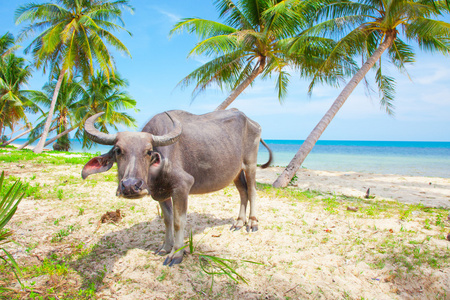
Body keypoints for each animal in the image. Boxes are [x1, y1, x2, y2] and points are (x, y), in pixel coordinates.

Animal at [81, 109, 272, 266]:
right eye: (118, 150)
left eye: (148, 151)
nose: (130, 186)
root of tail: (251, 122)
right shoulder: (161, 194)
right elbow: (167, 220)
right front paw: (165, 247)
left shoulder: (182, 187)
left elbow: (179, 221)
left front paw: (177, 253)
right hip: (235, 172)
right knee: (243, 192)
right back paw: (239, 222)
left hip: (250, 164)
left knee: (252, 191)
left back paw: (252, 222)